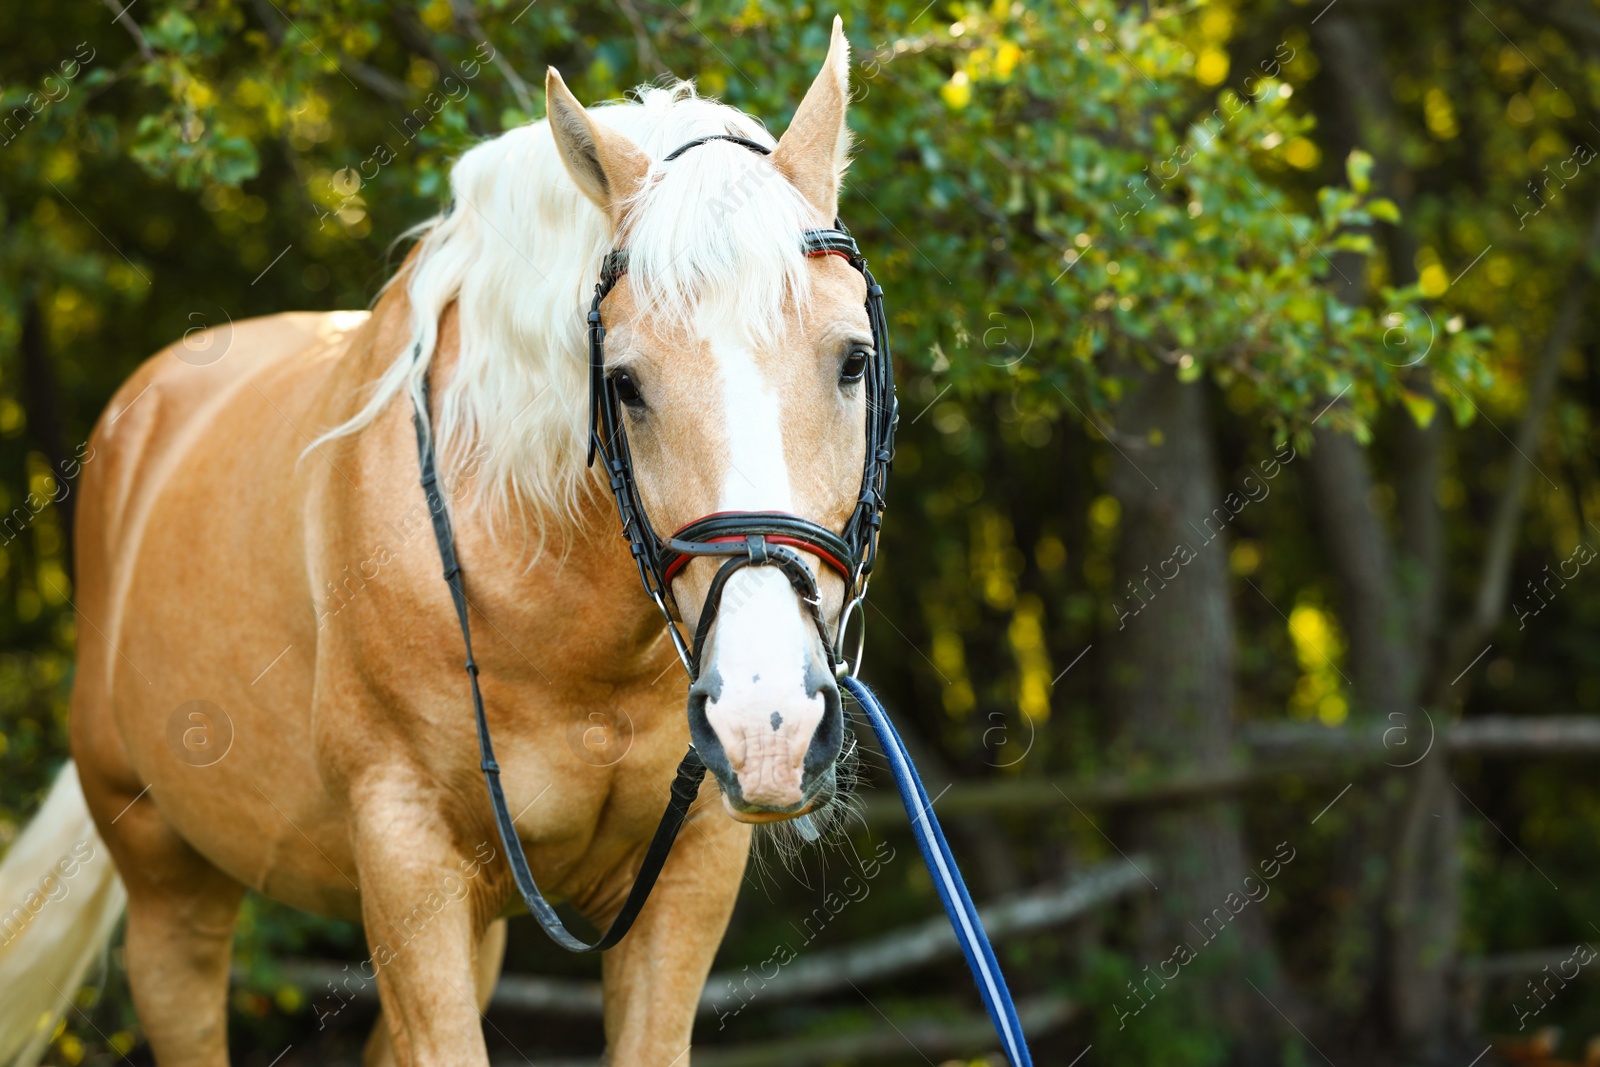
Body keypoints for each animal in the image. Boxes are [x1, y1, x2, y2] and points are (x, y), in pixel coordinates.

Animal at [0, 18, 876, 1067]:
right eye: (623, 383)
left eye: (853, 361)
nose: (767, 715)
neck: (564, 617)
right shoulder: (405, 854)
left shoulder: (691, 866)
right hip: (174, 896)